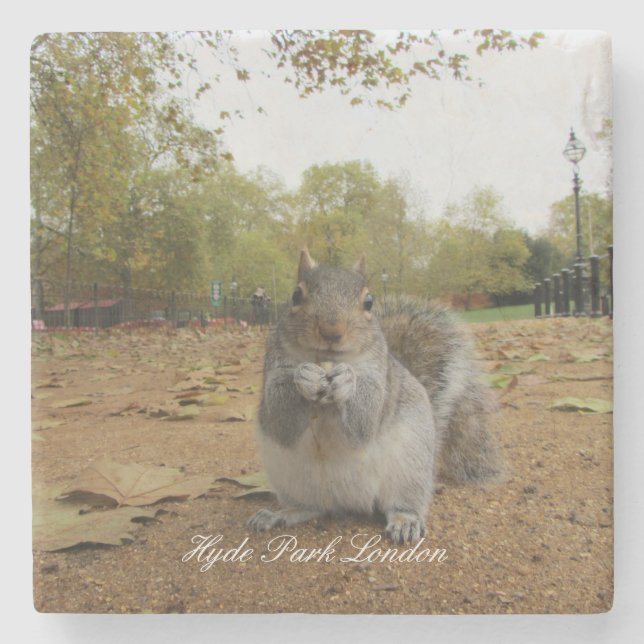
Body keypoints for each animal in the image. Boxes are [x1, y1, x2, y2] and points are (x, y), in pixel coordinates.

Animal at [248, 248, 503, 544]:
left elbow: (365, 420)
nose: (331, 331)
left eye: (369, 302)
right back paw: (279, 514)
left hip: (410, 469)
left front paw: (347, 380)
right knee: (310, 507)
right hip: (292, 479)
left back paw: (405, 521)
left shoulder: (379, 379)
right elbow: (280, 419)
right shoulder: (274, 367)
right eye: (296, 295)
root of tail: (348, 502)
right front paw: (305, 376)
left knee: (401, 503)